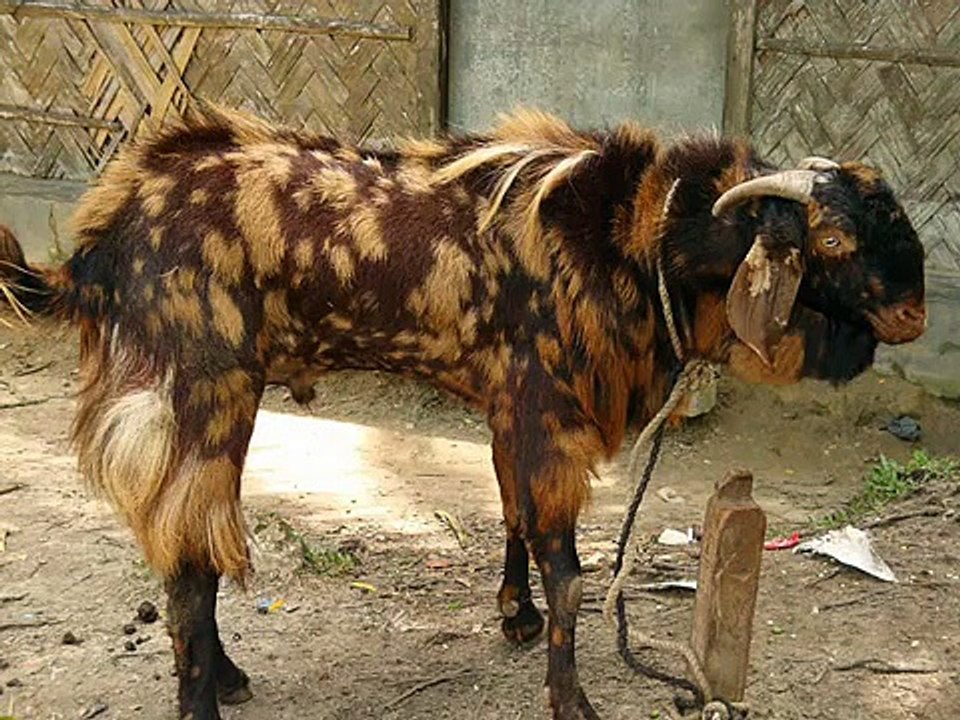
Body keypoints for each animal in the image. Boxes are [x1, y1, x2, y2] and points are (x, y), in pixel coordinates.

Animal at [0, 107, 925, 719]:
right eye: (832, 241)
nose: (916, 316)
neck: (630, 236)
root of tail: (98, 245)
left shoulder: (510, 405)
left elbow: (512, 513)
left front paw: (514, 617)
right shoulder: (547, 409)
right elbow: (569, 571)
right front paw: (572, 698)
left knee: (182, 550)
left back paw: (224, 674)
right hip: (202, 393)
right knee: (191, 560)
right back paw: (203, 699)